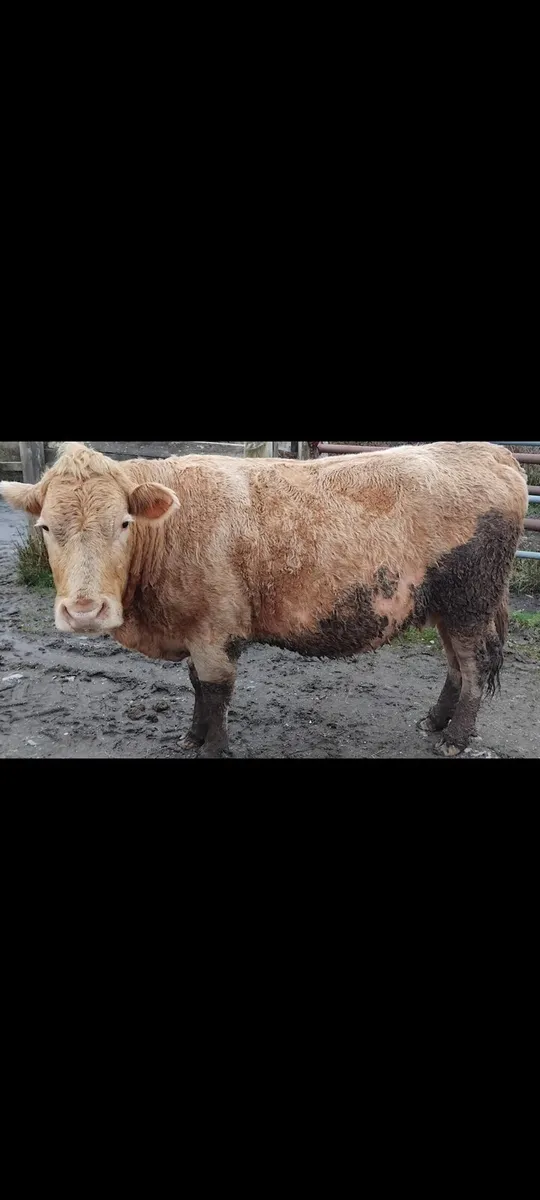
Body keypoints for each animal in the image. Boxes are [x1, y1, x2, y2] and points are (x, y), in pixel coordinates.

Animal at [0, 441, 528, 758]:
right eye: (44, 527)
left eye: (124, 523)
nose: (84, 611)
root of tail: (489, 452)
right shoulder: (196, 631)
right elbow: (197, 686)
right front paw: (191, 736)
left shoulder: (215, 628)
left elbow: (215, 690)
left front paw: (213, 747)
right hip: (448, 606)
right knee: (455, 666)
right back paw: (434, 722)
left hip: (470, 601)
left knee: (474, 667)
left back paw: (454, 738)